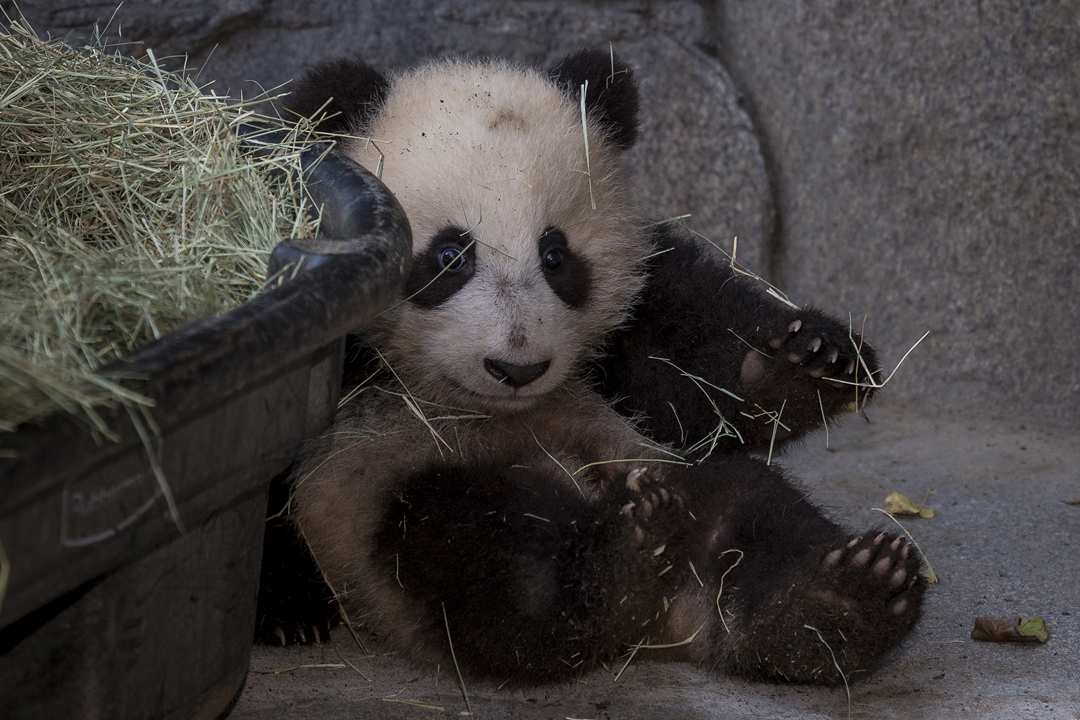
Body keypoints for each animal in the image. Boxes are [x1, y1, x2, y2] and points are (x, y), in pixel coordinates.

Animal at [261, 49, 928, 686]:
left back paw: (839, 601)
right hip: (384, 501)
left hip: (664, 468)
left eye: (556, 256)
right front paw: (290, 611)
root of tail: (664, 624)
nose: (517, 368)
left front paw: (816, 357)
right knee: (477, 553)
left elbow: (695, 380)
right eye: (451, 255)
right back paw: (614, 568)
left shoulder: (627, 331)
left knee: (752, 506)